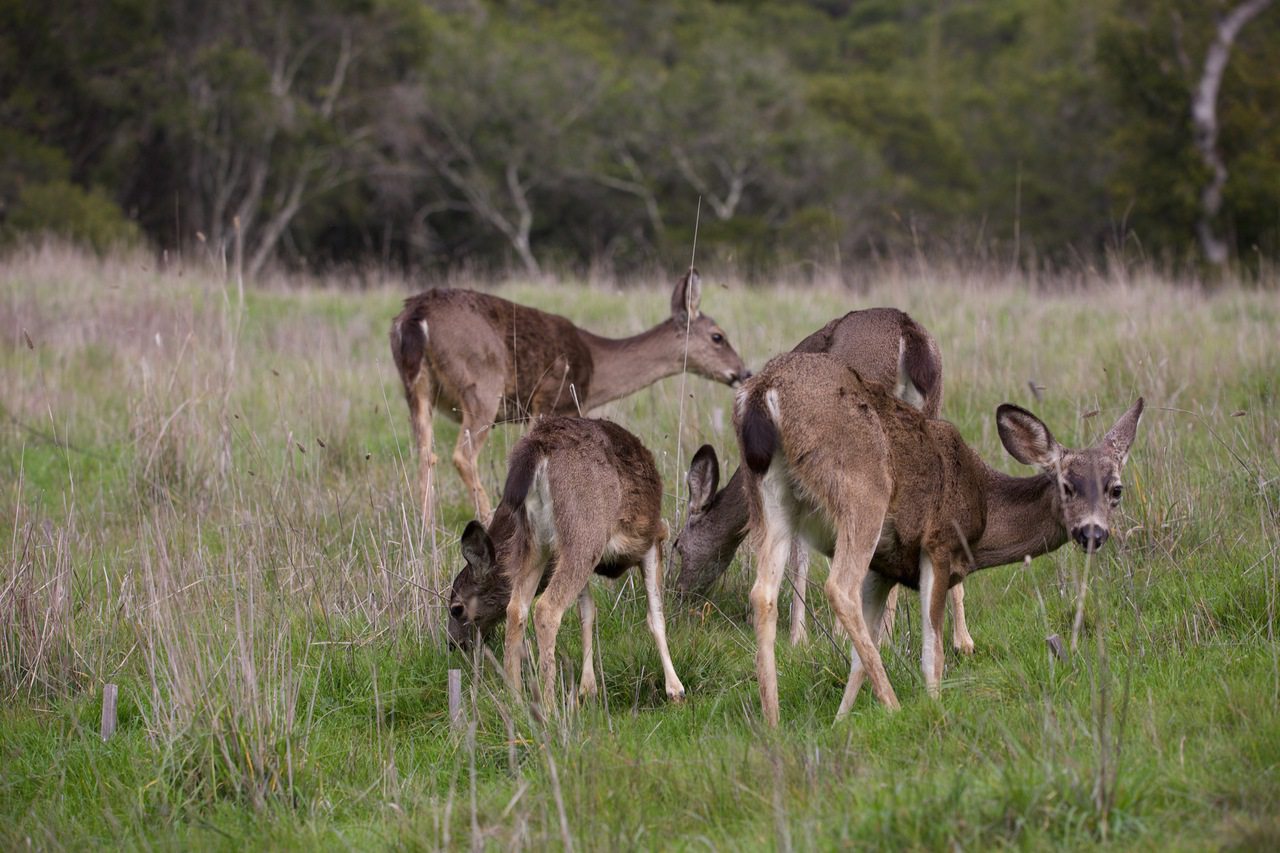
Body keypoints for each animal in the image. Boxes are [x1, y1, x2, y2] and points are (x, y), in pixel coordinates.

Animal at [389, 267, 747, 517]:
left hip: (415, 387)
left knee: (424, 453)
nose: (743, 371)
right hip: (482, 384)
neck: (597, 366)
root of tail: (414, 315)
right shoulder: (553, 402)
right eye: (718, 336)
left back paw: (426, 526)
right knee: (462, 455)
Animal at [445, 414, 686, 706]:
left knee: (516, 608)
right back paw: (549, 704)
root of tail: (539, 447)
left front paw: (587, 688)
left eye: (456, 609)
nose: (452, 644)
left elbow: (588, 613)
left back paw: (516, 699)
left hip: (536, 541)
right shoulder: (653, 536)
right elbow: (656, 616)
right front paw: (675, 689)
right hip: (584, 532)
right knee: (546, 609)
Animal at [670, 308, 967, 648]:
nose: (678, 593)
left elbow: (800, 551)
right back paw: (954, 639)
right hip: (930, 409)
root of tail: (909, 334)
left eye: (677, 545)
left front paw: (799, 635)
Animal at [737, 348, 1146, 722]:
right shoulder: (939, 544)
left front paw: (840, 723)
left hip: (769, 497)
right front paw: (932, 705)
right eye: (1066, 486)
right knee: (838, 586)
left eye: (1116, 490)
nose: (1092, 532)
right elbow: (933, 650)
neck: (984, 512)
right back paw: (894, 706)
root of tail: (765, 390)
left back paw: (772, 722)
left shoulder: (884, 568)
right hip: (862, 489)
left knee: (763, 593)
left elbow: (859, 657)